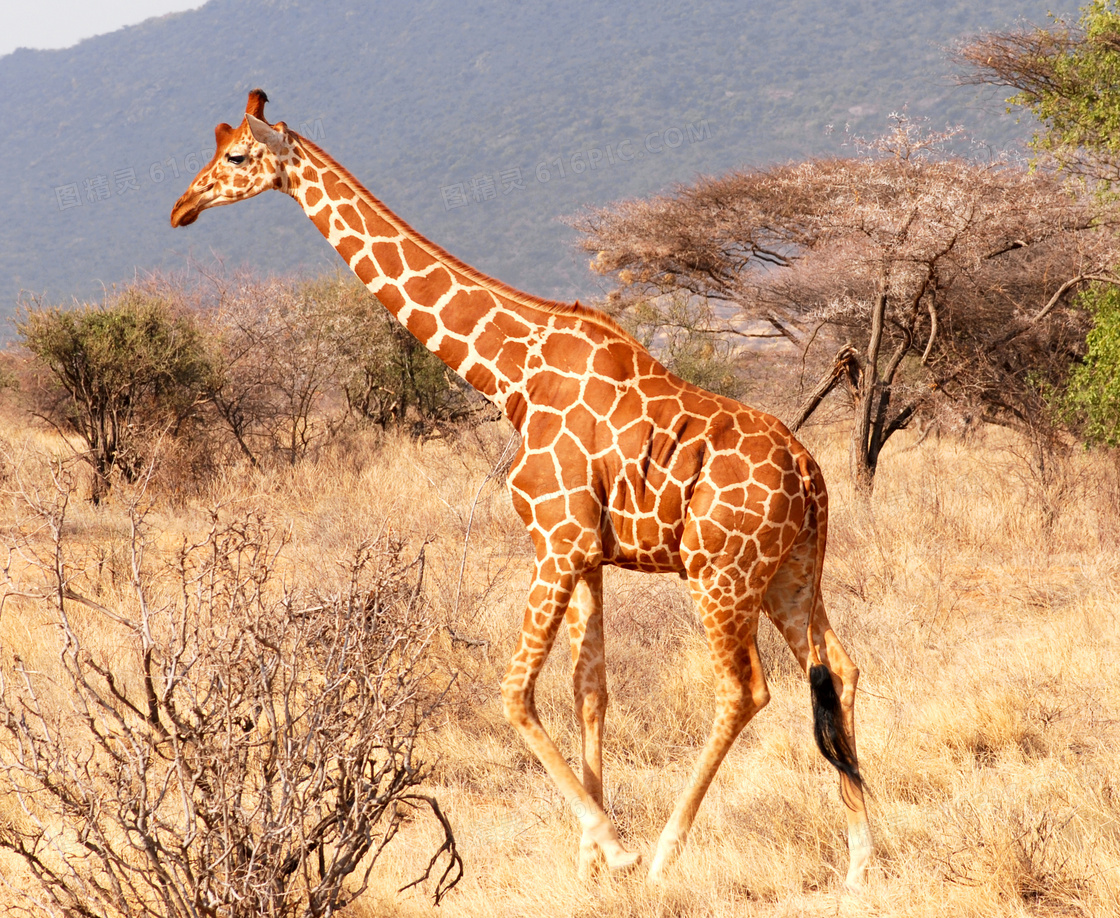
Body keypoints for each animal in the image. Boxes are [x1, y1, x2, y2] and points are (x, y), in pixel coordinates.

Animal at [172, 89, 873, 886]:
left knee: (744, 690)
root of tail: (812, 476)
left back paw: (667, 852)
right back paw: (861, 862)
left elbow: (513, 694)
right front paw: (589, 864)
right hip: (791, 572)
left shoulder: (557, 542)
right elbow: (589, 691)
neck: (510, 373)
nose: (182, 207)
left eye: (234, 155)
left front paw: (616, 848)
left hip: (720, 572)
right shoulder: (589, 555)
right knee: (839, 669)